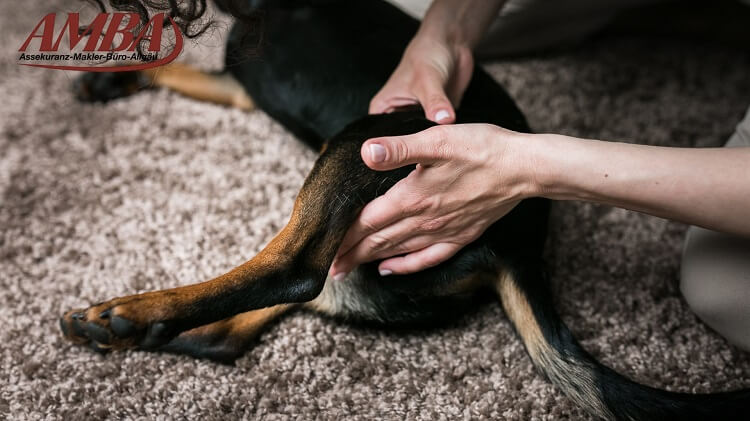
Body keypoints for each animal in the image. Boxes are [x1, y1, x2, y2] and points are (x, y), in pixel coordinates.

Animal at [61, 0, 750, 420]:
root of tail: (521, 248)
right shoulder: (239, 82)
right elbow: (183, 71)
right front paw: (111, 76)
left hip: (366, 141)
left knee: (293, 268)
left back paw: (133, 314)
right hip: (369, 273)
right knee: (236, 334)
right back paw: (139, 332)